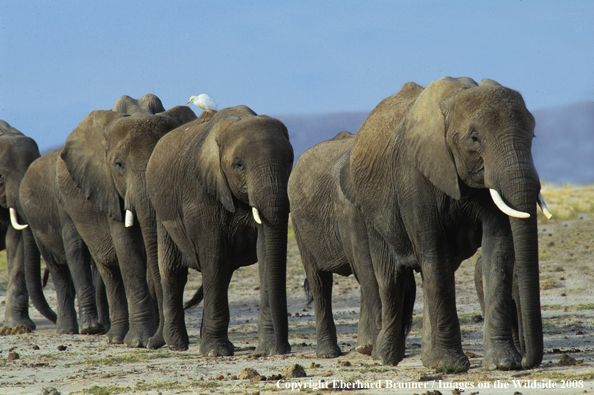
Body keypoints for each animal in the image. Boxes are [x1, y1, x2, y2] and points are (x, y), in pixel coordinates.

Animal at [55, 97, 195, 348]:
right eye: (118, 164)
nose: (155, 342)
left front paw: (147, 339)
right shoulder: (106, 187)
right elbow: (127, 247)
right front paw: (138, 341)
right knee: (109, 270)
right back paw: (116, 337)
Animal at [146, 104, 294, 356]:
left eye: (291, 161)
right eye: (239, 165)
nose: (283, 348)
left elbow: (265, 252)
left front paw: (266, 349)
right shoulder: (200, 192)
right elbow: (214, 255)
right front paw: (216, 352)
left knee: (223, 274)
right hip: (162, 214)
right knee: (174, 273)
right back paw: (177, 345)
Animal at [290, 132, 414, 362]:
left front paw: (373, 348)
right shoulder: (348, 209)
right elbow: (369, 270)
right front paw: (376, 351)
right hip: (298, 224)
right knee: (319, 281)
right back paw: (327, 354)